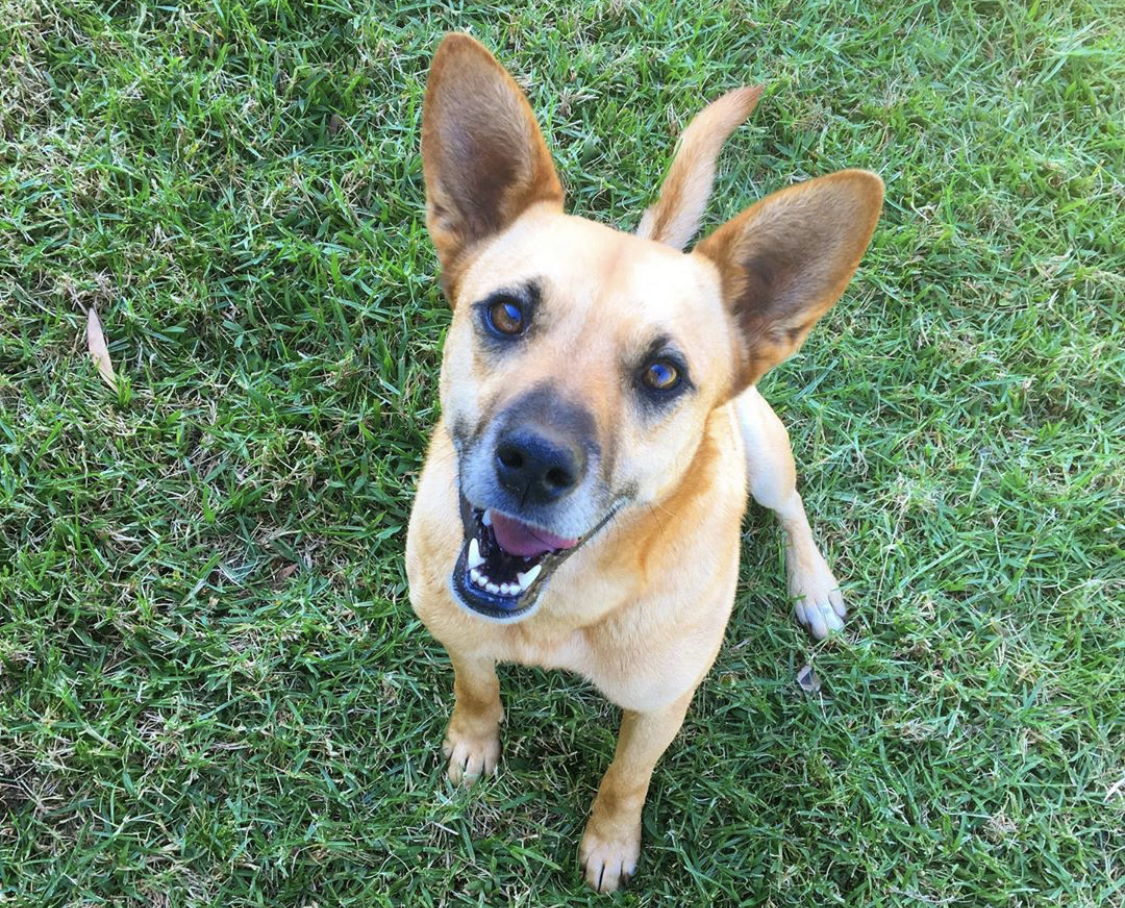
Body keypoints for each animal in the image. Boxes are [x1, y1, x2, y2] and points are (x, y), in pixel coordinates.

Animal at [409, 35, 882, 895]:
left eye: (664, 373)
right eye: (507, 312)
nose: (532, 464)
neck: (561, 610)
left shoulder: (661, 706)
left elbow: (626, 778)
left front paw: (609, 842)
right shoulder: (456, 628)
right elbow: (477, 685)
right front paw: (474, 742)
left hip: (764, 448)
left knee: (791, 507)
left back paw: (813, 587)